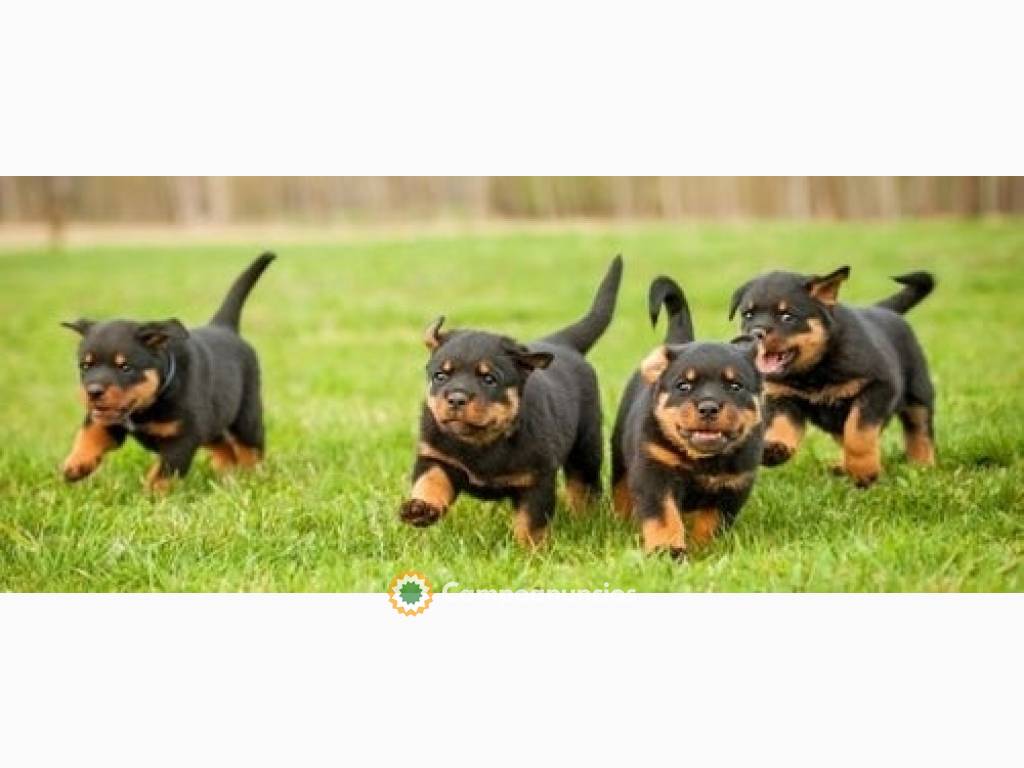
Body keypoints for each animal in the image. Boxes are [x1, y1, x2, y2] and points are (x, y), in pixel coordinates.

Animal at [59, 252, 276, 493]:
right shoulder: (107, 418)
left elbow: (164, 472)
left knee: (250, 448)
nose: (93, 391)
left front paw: (150, 495)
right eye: (85, 366)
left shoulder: (183, 437)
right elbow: (91, 433)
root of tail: (224, 326)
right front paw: (77, 464)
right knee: (222, 445)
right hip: (213, 418)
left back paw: (251, 477)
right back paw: (227, 472)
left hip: (246, 416)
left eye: (125, 367)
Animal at [399, 256, 622, 548]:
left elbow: (531, 522)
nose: (456, 398)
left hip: (586, 446)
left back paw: (587, 520)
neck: (481, 442)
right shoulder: (435, 456)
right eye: (440, 376)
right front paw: (420, 507)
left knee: (583, 486)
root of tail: (562, 343)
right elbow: (430, 482)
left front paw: (531, 552)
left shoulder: (536, 479)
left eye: (489, 379)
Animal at [610, 276, 765, 561]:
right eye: (684, 386)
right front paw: (668, 551)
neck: (703, 461)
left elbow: (712, 522)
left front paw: (703, 550)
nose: (708, 407)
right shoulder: (655, 472)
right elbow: (664, 516)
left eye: (735, 386)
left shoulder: (733, 486)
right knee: (621, 488)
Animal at [729, 266, 937, 487]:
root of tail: (885, 310)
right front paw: (775, 448)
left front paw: (865, 472)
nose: (755, 333)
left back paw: (922, 465)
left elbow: (858, 433)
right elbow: (782, 424)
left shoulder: (878, 387)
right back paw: (840, 466)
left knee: (920, 430)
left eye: (787, 316)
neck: (813, 370)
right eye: (748, 315)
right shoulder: (782, 396)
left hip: (918, 394)